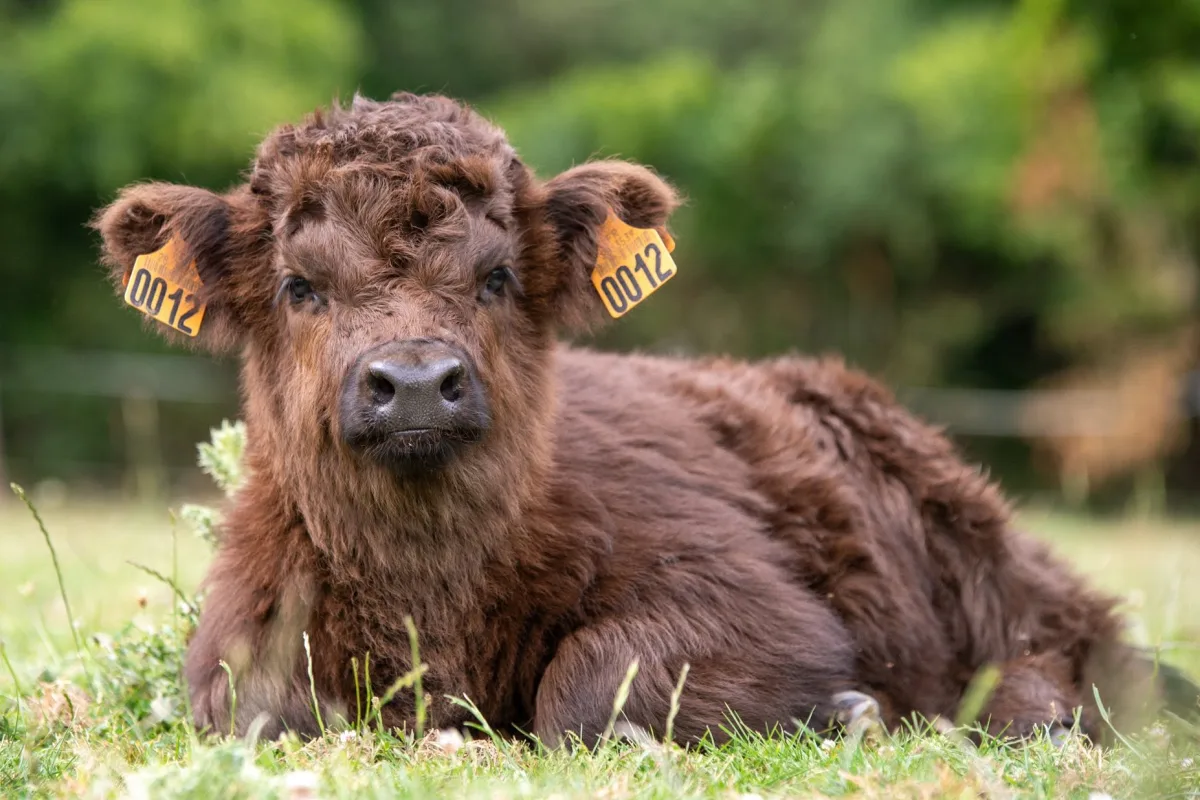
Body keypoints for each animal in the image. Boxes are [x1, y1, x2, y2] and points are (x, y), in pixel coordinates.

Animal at [93, 91, 1196, 748]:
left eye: (497, 277)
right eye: (300, 285)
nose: (412, 383)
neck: (432, 590)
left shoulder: (753, 599)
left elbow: (587, 681)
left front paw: (840, 707)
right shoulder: (240, 641)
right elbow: (264, 706)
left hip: (982, 567)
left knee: (1079, 652)